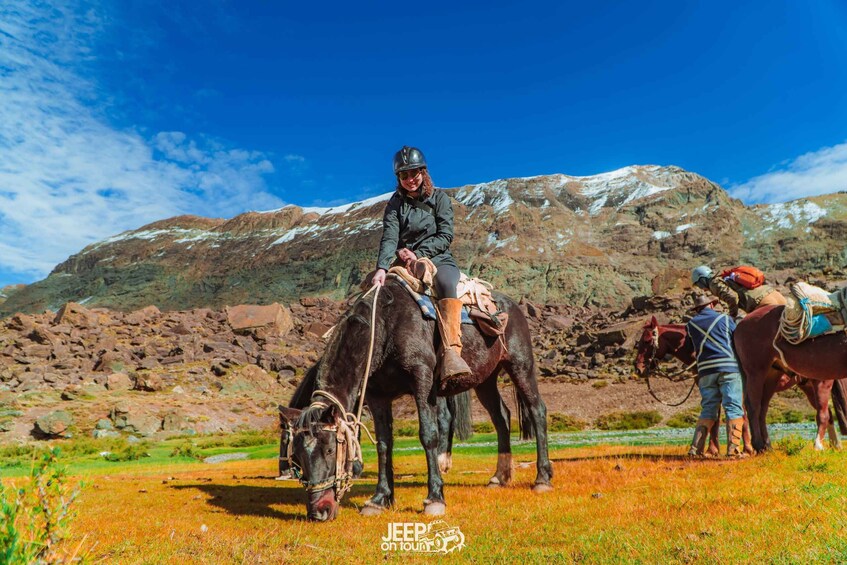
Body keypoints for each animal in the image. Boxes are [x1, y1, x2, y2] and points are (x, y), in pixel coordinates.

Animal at [280, 278, 556, 520]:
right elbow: (383, 444)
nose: (319, 511)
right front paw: (379, 499)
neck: (385, 327)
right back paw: (500, 477)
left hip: (520, 366)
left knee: (537, 410)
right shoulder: (377, 396)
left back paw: (542, 479)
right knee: (502, 418)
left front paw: (434, 498)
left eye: (330, 449)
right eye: (298, 456)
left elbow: (428, 435)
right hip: (485, 381)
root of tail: (511, 306)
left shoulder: (422, 381)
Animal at [636, 316, 847, 452]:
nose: (638, 368)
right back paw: (834, 445)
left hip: (818, 382)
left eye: (646, 341)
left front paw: (732, 448)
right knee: (827, 413)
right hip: (807, 385)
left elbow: (734, 416)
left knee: (824, 412)